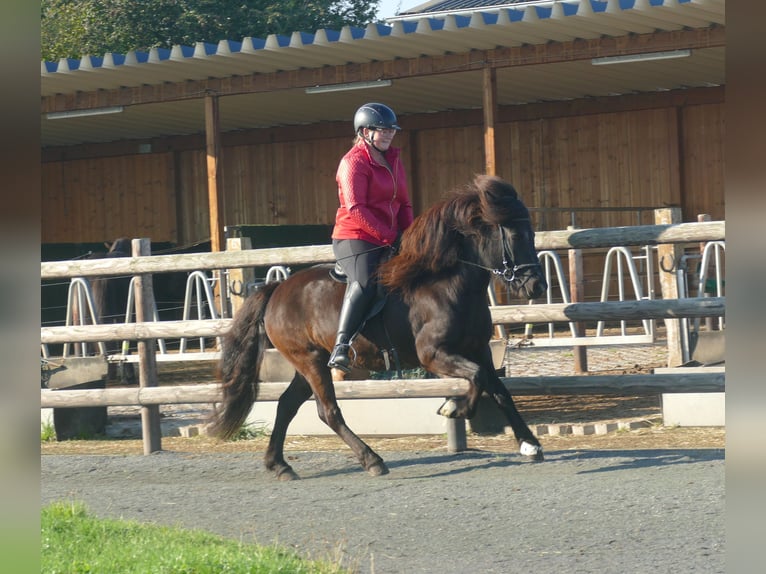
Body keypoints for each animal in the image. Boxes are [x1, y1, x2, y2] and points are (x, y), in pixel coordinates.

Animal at [207, 175, 548, 480]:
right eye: (516, 236)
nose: (537, 286)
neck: (447, 284)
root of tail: (276, 289)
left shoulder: (478, 350)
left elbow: (499, 390)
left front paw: (529, 444)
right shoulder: (434, 355)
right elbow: (477, 379)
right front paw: (454, 410)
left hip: (307, 363)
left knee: (286, 405)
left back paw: (280, 465)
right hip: (310, 361)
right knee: (328, 411)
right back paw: (371, 460)